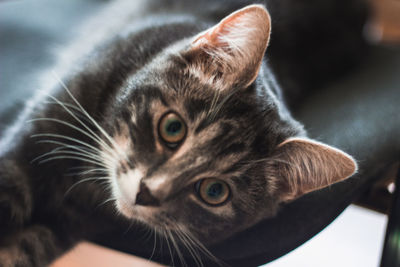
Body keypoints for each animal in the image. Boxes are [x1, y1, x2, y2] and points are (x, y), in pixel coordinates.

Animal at [0, 0, 362, 267]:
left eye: (214, 191)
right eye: (172, 128)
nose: (147, 193)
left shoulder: (74, 221)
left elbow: (27, 248)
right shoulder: (38, 134)